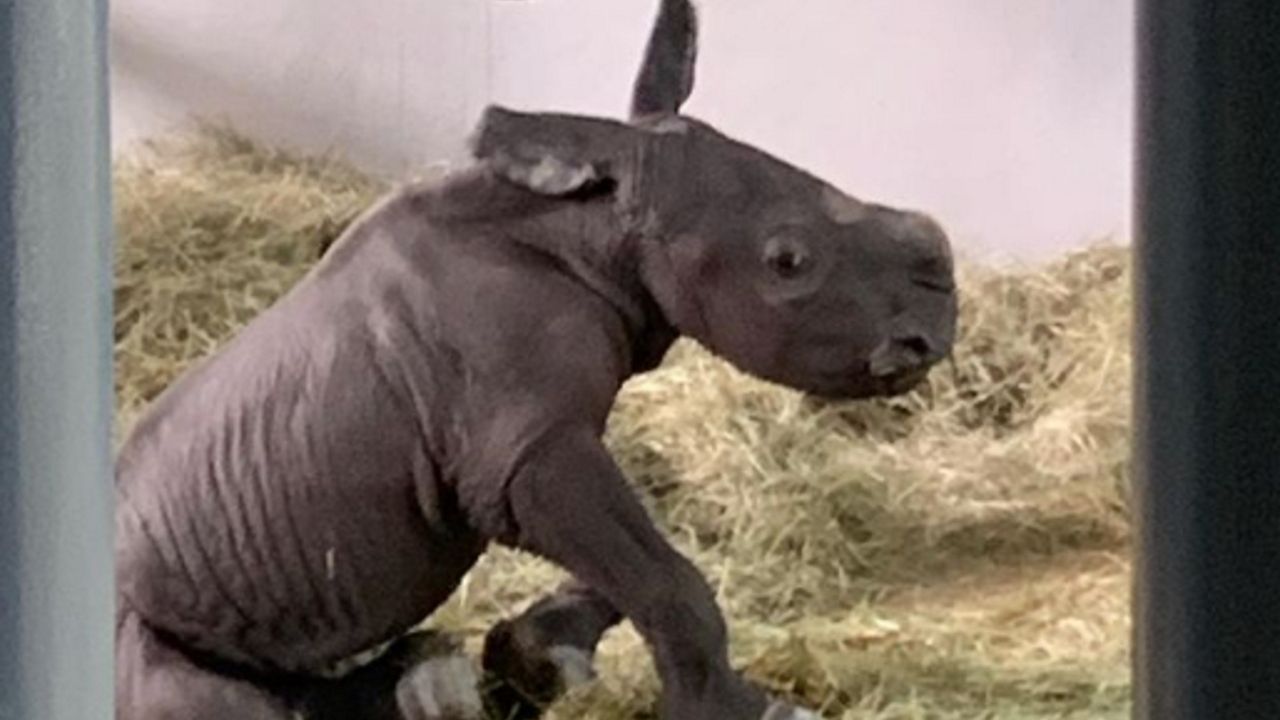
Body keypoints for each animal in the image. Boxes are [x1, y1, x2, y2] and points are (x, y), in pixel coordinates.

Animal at [114, 1, 958, 718]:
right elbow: (672, 583)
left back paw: (430, 683)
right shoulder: (521, 452)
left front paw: (535, 656)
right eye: (788, 262)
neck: (593, 228)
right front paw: (750, 710)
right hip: (136, 627)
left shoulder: (534, 443)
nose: (934, 330)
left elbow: (641, 565)